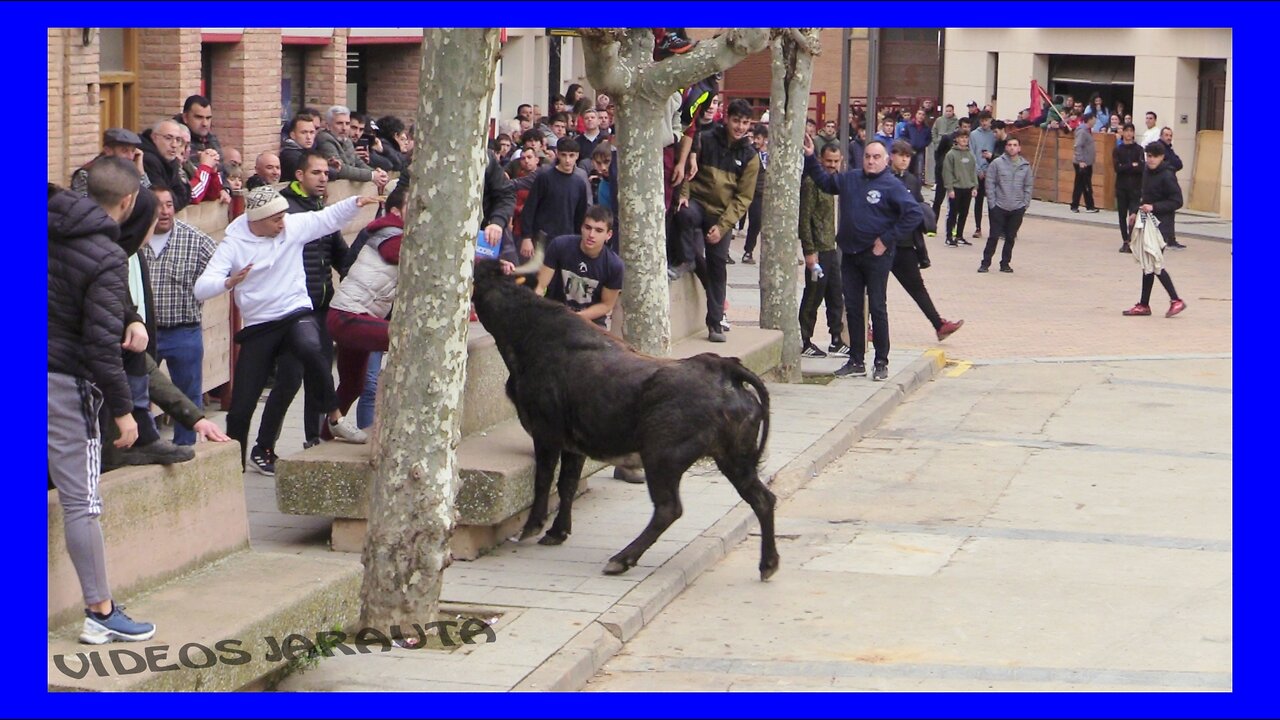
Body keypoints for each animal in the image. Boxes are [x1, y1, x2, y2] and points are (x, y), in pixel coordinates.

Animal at [465, 254, 773, 573]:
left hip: (663, 457)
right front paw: (557, 532)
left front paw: (532, 527)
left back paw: (622, 558)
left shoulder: (546, 433)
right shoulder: (573, 443)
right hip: (733, 457)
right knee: (762, 498)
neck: (528, 334)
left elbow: (544, 479)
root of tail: (724, 370)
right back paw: (767, 564)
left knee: (668, 509)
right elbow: (567, 484)